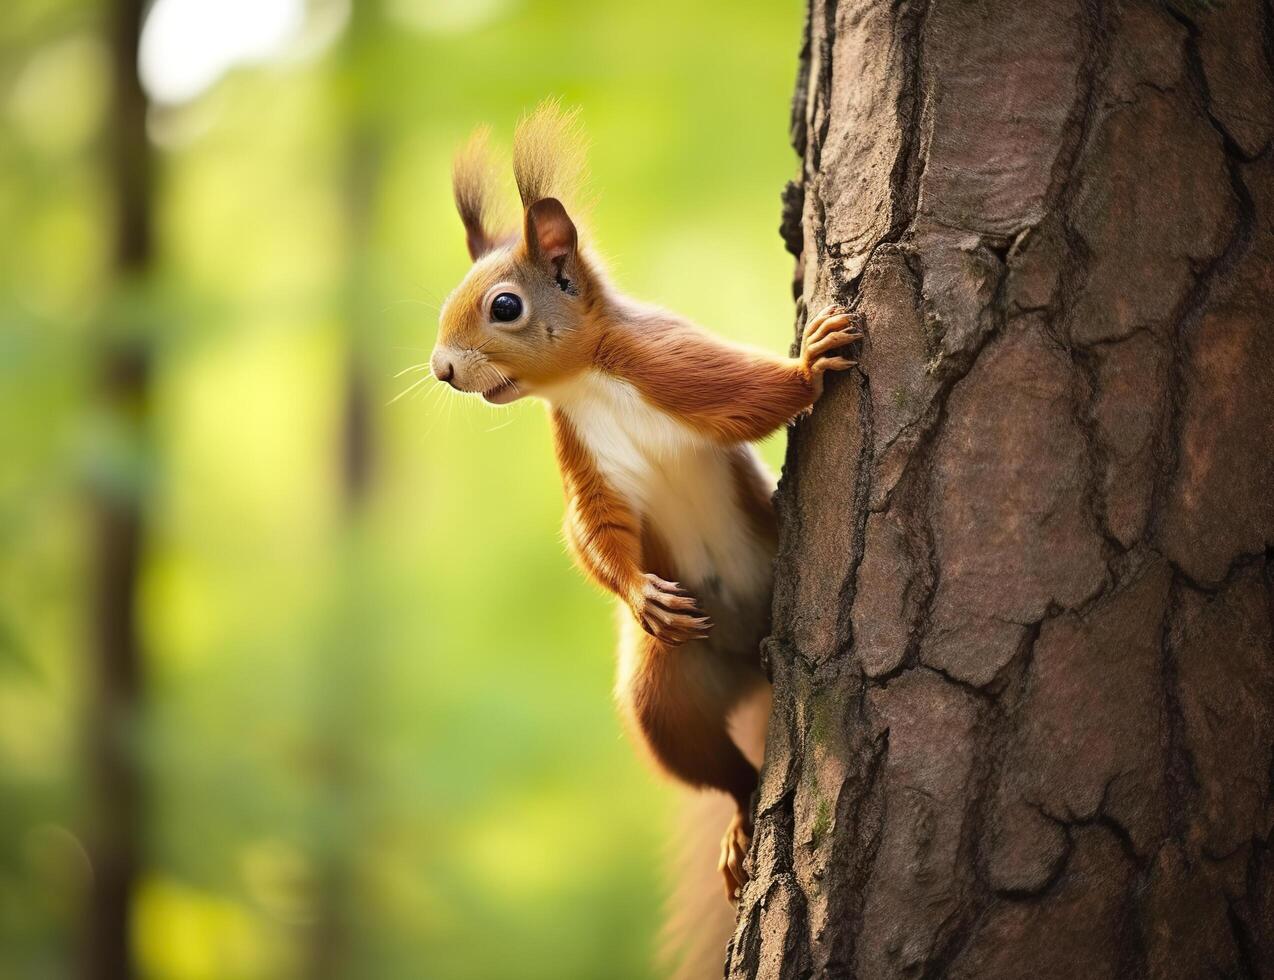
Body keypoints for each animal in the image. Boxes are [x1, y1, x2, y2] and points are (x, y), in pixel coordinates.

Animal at [430, 107, 866, 917]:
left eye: (505, 306)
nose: (442, 369)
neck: (585, 381)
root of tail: (749, 665)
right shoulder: (583, 462)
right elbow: (593, 532)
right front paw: (639, 595)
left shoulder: (672, 364)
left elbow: (751, 397)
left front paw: (810, 363)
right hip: (669, 687)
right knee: (714, 764)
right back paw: (740, 822)